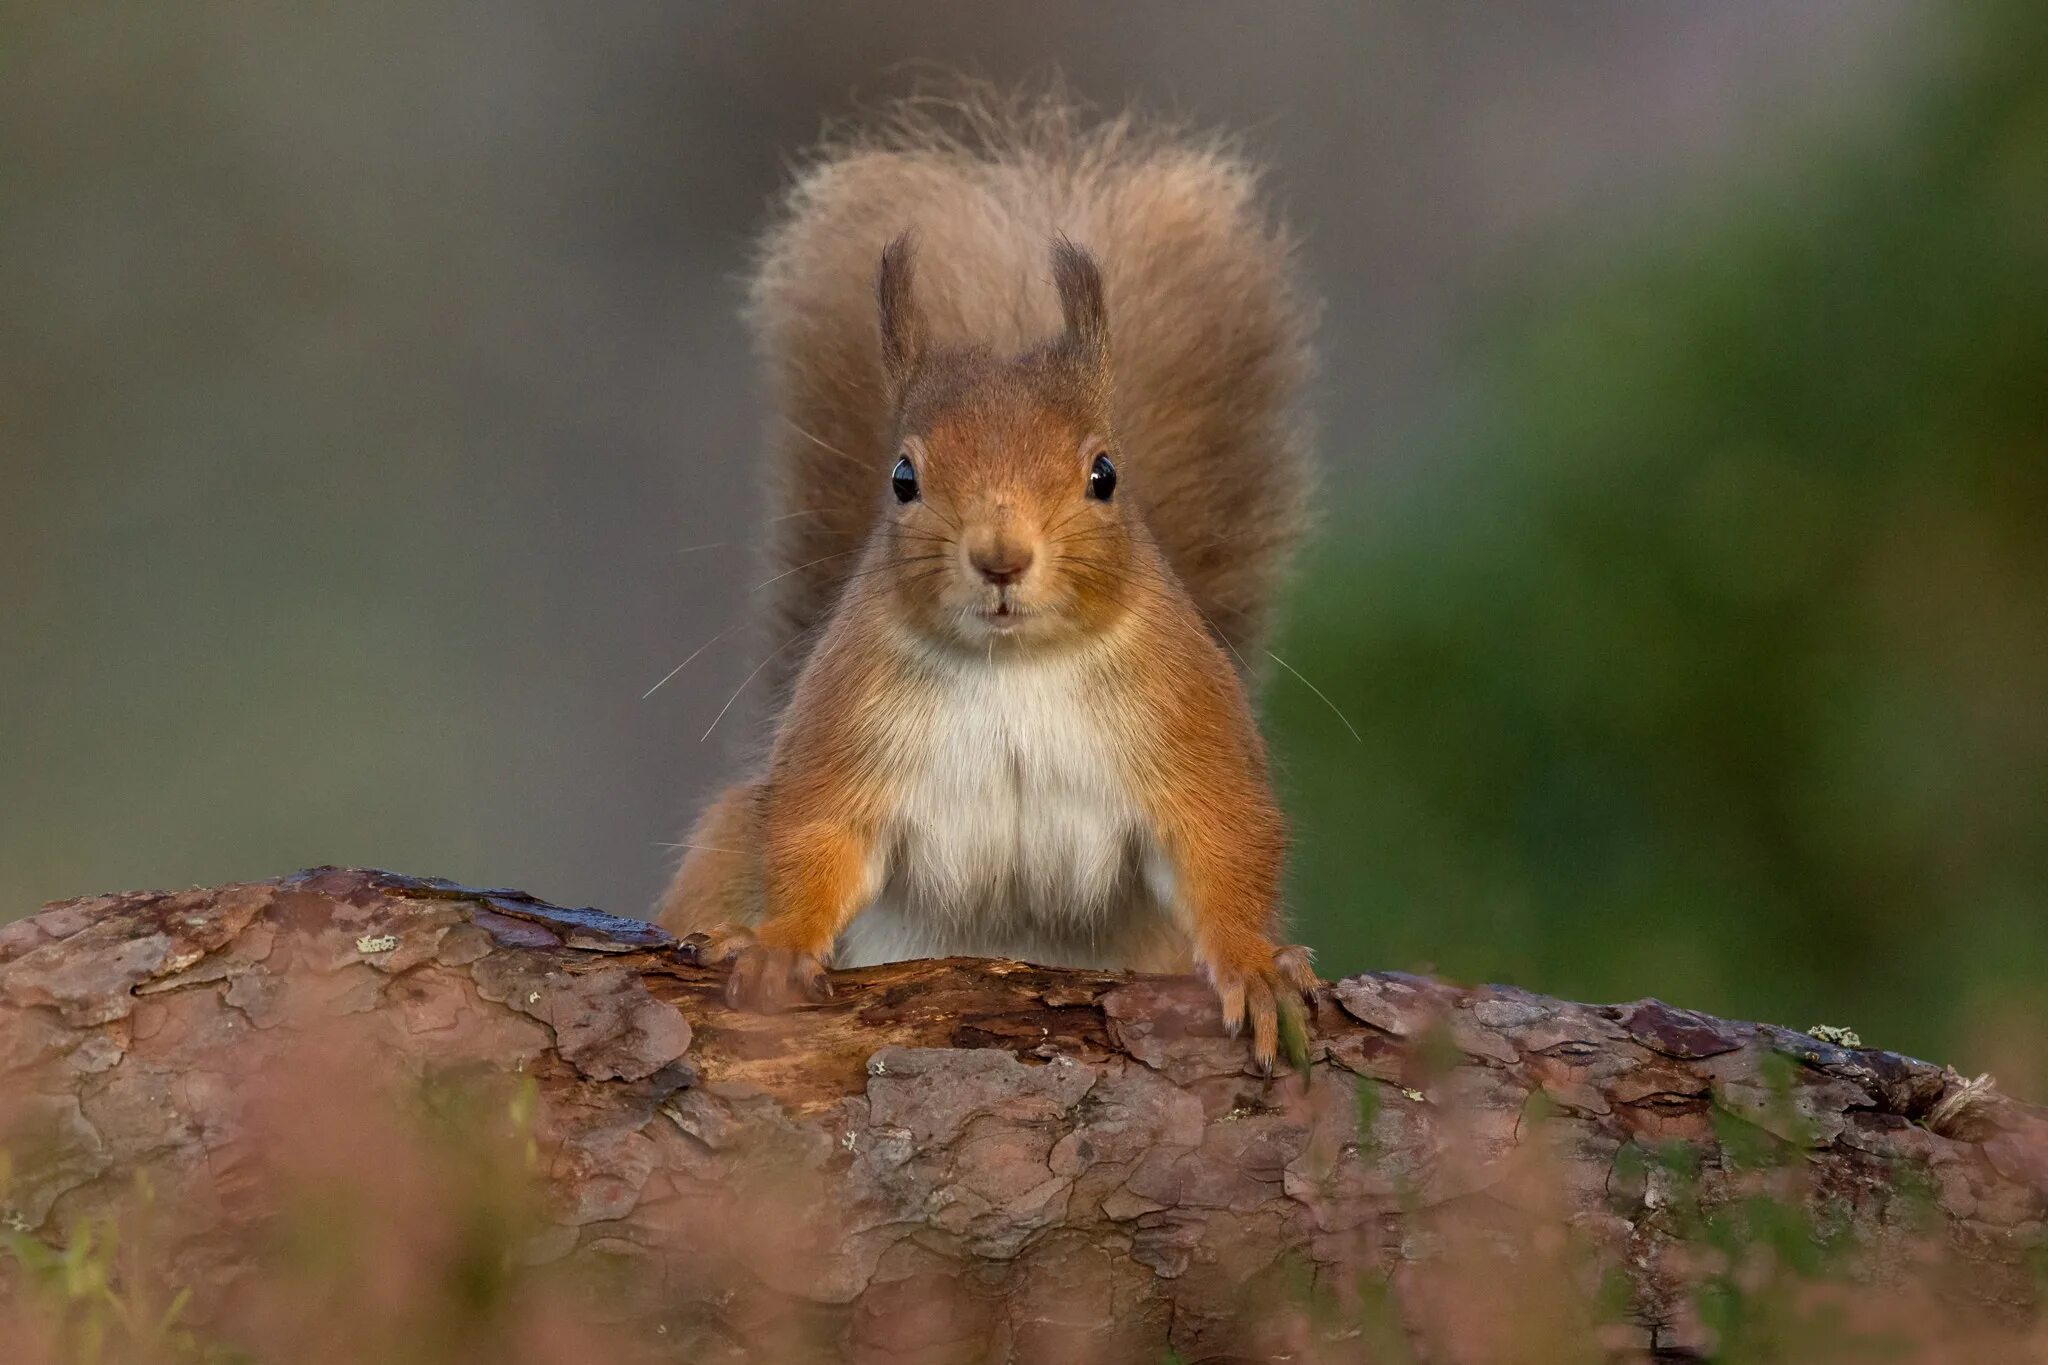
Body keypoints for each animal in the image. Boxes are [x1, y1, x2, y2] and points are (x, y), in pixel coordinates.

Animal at [663, 98, 1318, 1080]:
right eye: (902, 477)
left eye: (1105, 473)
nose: (1001, 556)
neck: (1013, 667)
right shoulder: (849, 721)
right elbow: (816, 834)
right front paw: (779, 942)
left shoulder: (1185, 716)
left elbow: (1224, 838)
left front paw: (1256, 963)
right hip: (723, 840)